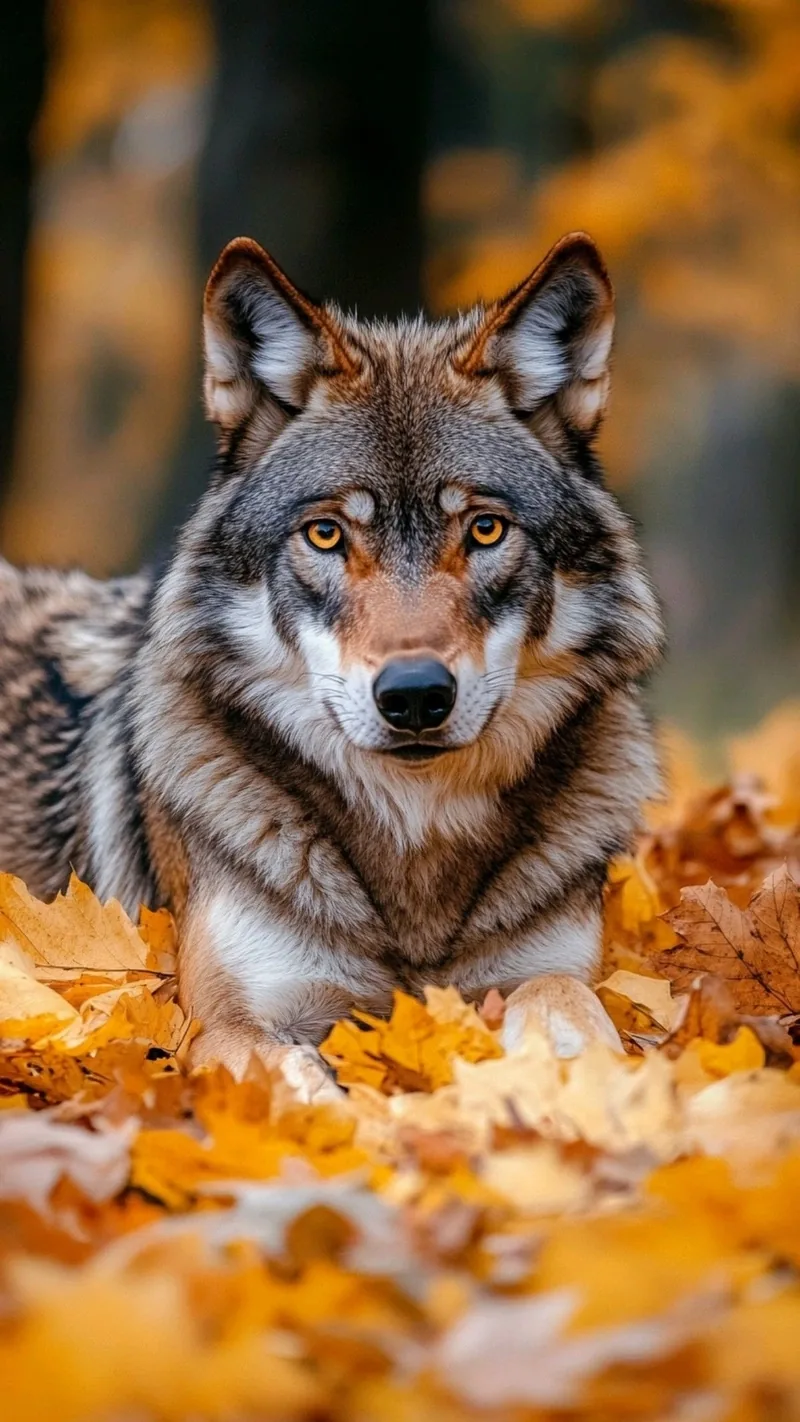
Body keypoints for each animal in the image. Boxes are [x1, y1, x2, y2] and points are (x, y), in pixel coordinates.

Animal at [0, 232, 663, 1091]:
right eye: (325, 535)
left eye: (485, 529)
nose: (414, 695)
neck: (414, 853)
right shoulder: (229, 1025)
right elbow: (306, 1091)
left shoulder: (548, 968)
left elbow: (572, 1006)